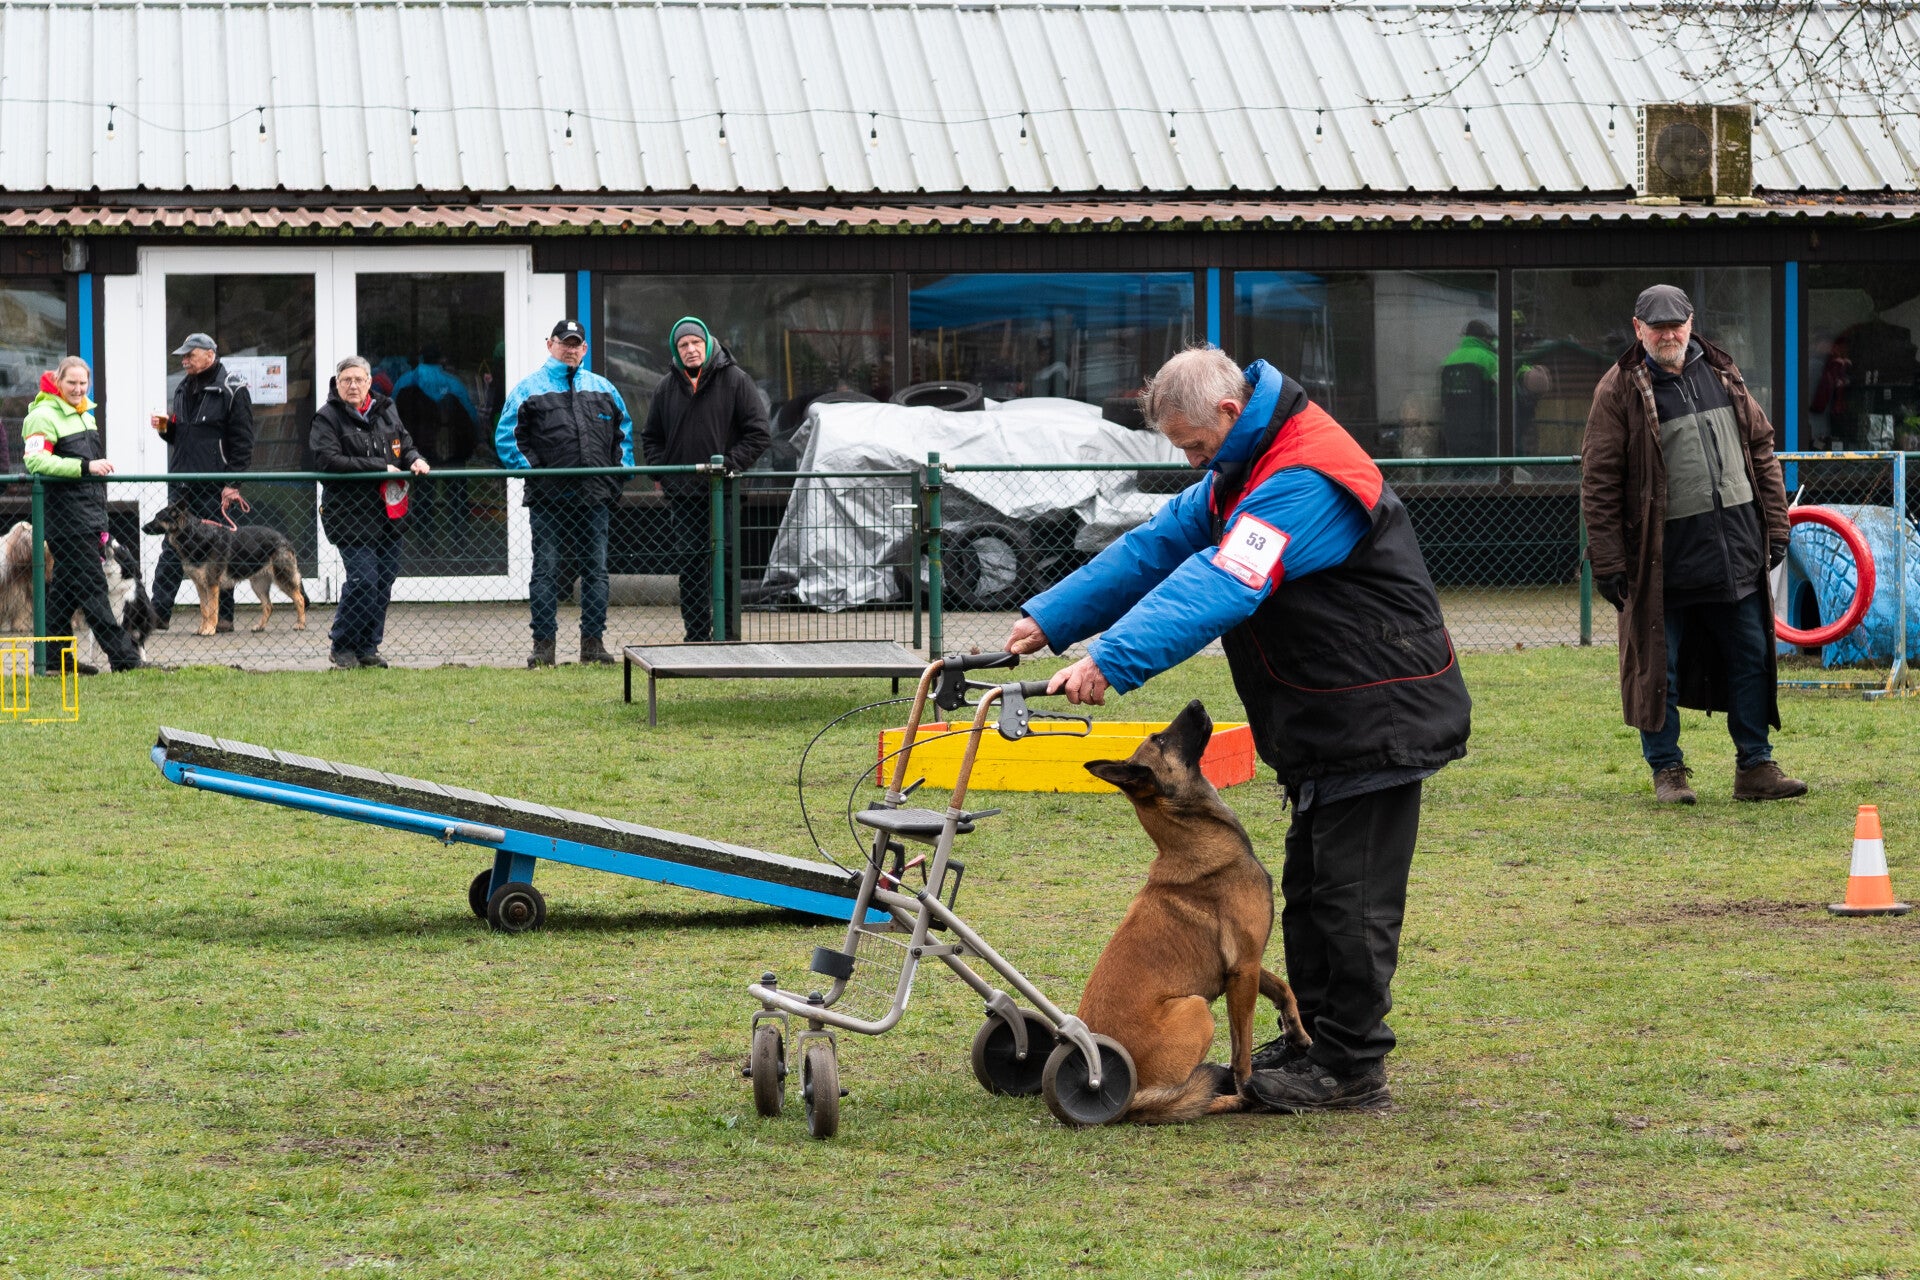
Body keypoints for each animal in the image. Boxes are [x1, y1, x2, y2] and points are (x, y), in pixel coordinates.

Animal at [141, 503, 307, 635]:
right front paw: (202, 629)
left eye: (157, 517)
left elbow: (212, 610)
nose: (142, 527)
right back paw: (260, 627)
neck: (193, 536)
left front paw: (209, 630)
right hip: (258, 584)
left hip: (282, 579)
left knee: (299, 599)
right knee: (268, 606)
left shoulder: (212, 584)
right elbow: (204, 609)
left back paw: (301, 624)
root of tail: (285, 540)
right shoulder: (201, 586)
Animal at [1078, 700, 1309, 1123]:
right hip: (1196, 1009)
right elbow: (1241, 1050)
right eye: (1159, 739)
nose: (1196, 704)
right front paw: (1249, 1090)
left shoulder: (1247, 964)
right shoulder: (1243, 970)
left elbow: (1284, 989)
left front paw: (1298, 1035)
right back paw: (1228, 1099)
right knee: (1175, 1099)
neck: (1194, 843)